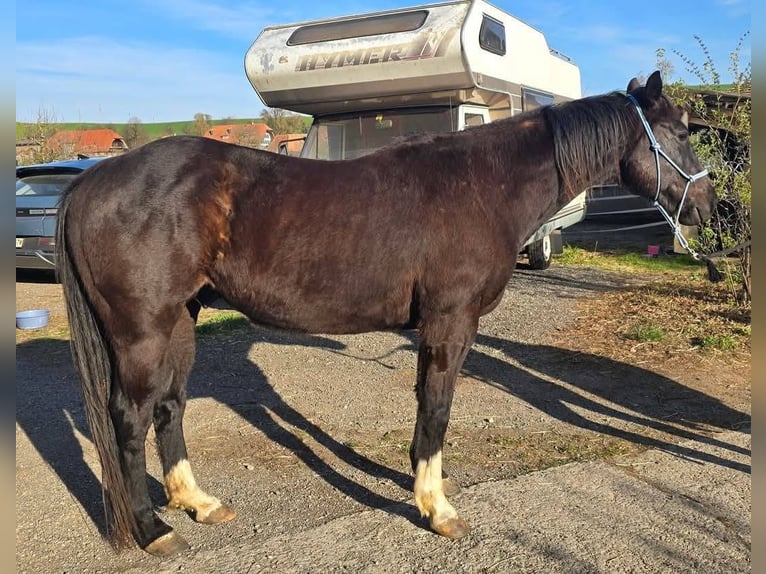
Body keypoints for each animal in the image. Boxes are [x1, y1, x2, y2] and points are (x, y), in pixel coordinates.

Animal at [55, 71, 716, 557]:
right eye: (680, 132)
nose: (710, 209)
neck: (482, 186)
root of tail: (92, 180)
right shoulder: (451, 322)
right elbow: (438, 406)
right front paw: (437, 508)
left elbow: (426, 403)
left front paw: (424, 486)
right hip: (140, 333)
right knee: (129, 419)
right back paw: (153, 530)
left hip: (181, 321)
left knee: (170, 409)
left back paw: (197, 503)